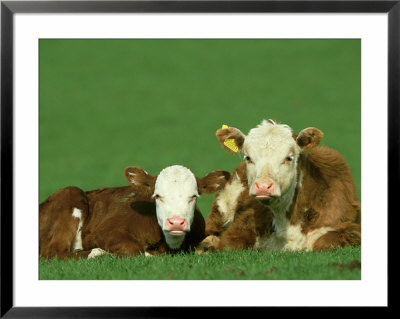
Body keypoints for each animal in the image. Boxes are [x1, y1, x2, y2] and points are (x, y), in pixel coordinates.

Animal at [39, 165, 231, 260]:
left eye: (194, 196)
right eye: (157, 195)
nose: (176, 222)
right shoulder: (104, 231)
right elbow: (134, 249)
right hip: (70, 193)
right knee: (53, 251)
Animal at [202, 120, 360, 252]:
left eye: (289, 158)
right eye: (248, 157)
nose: (263, 186)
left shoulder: (351, 228)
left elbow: (325, 242)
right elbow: (227, 244)